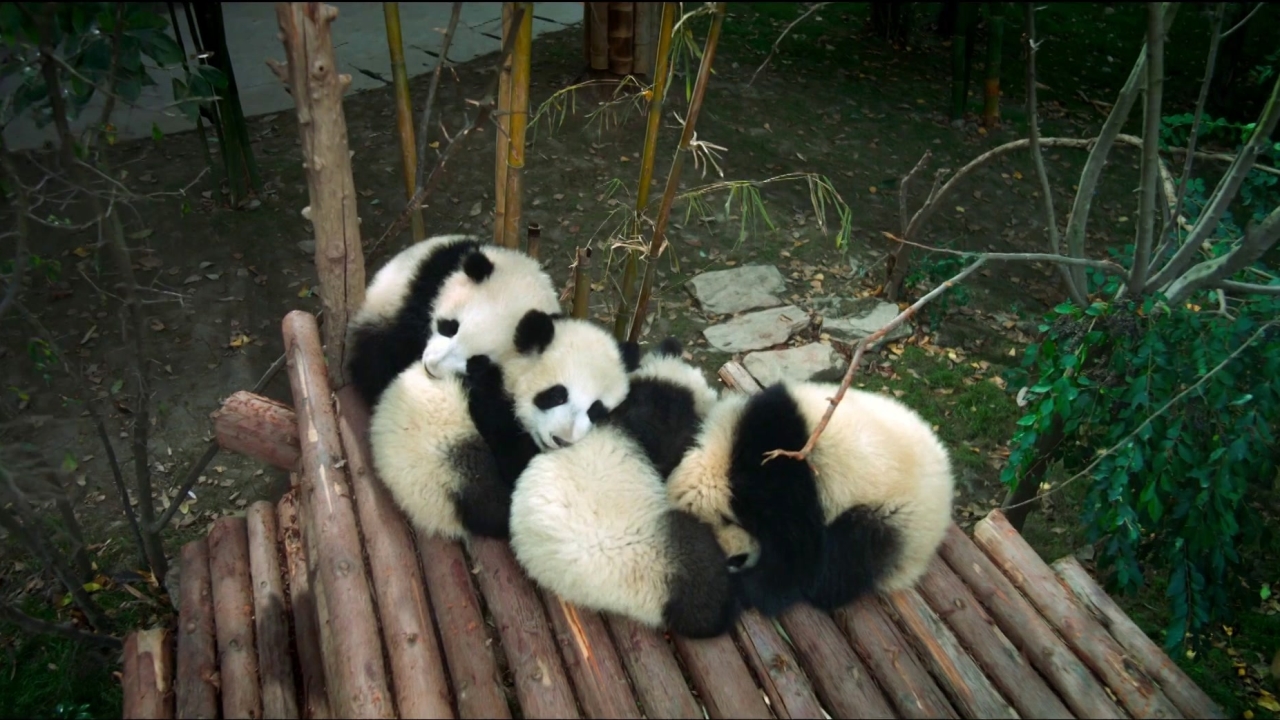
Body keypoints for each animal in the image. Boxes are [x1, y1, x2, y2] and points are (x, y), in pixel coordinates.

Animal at [369, 311, 636, 541]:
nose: (562, 440)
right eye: (557, 395)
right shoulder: (491, 402)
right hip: (445, 460)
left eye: (595, 410)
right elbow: (511, 457)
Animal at [666, 380, 955, 617]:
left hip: (893, 513)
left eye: (732, 559)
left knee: (847, 552)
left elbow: (795, 554)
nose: (740, 560)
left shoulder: (782, 477)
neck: (721, 462)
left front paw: (749, 586)